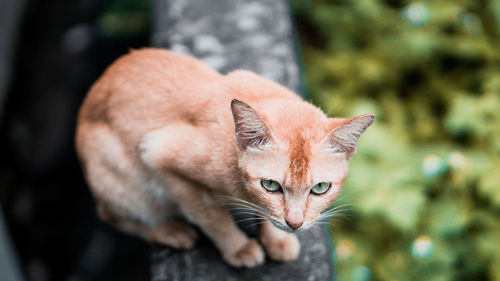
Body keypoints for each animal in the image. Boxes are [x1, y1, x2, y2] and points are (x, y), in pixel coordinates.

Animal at [75, 48, 376, 266]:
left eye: (321, 188)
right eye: (270, 185)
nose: (295, 223)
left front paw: (276, 239)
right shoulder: (158, 154)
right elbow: (212, 216)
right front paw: (239, 248)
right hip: (123, 181)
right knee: (110, 215)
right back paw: (170, 231)